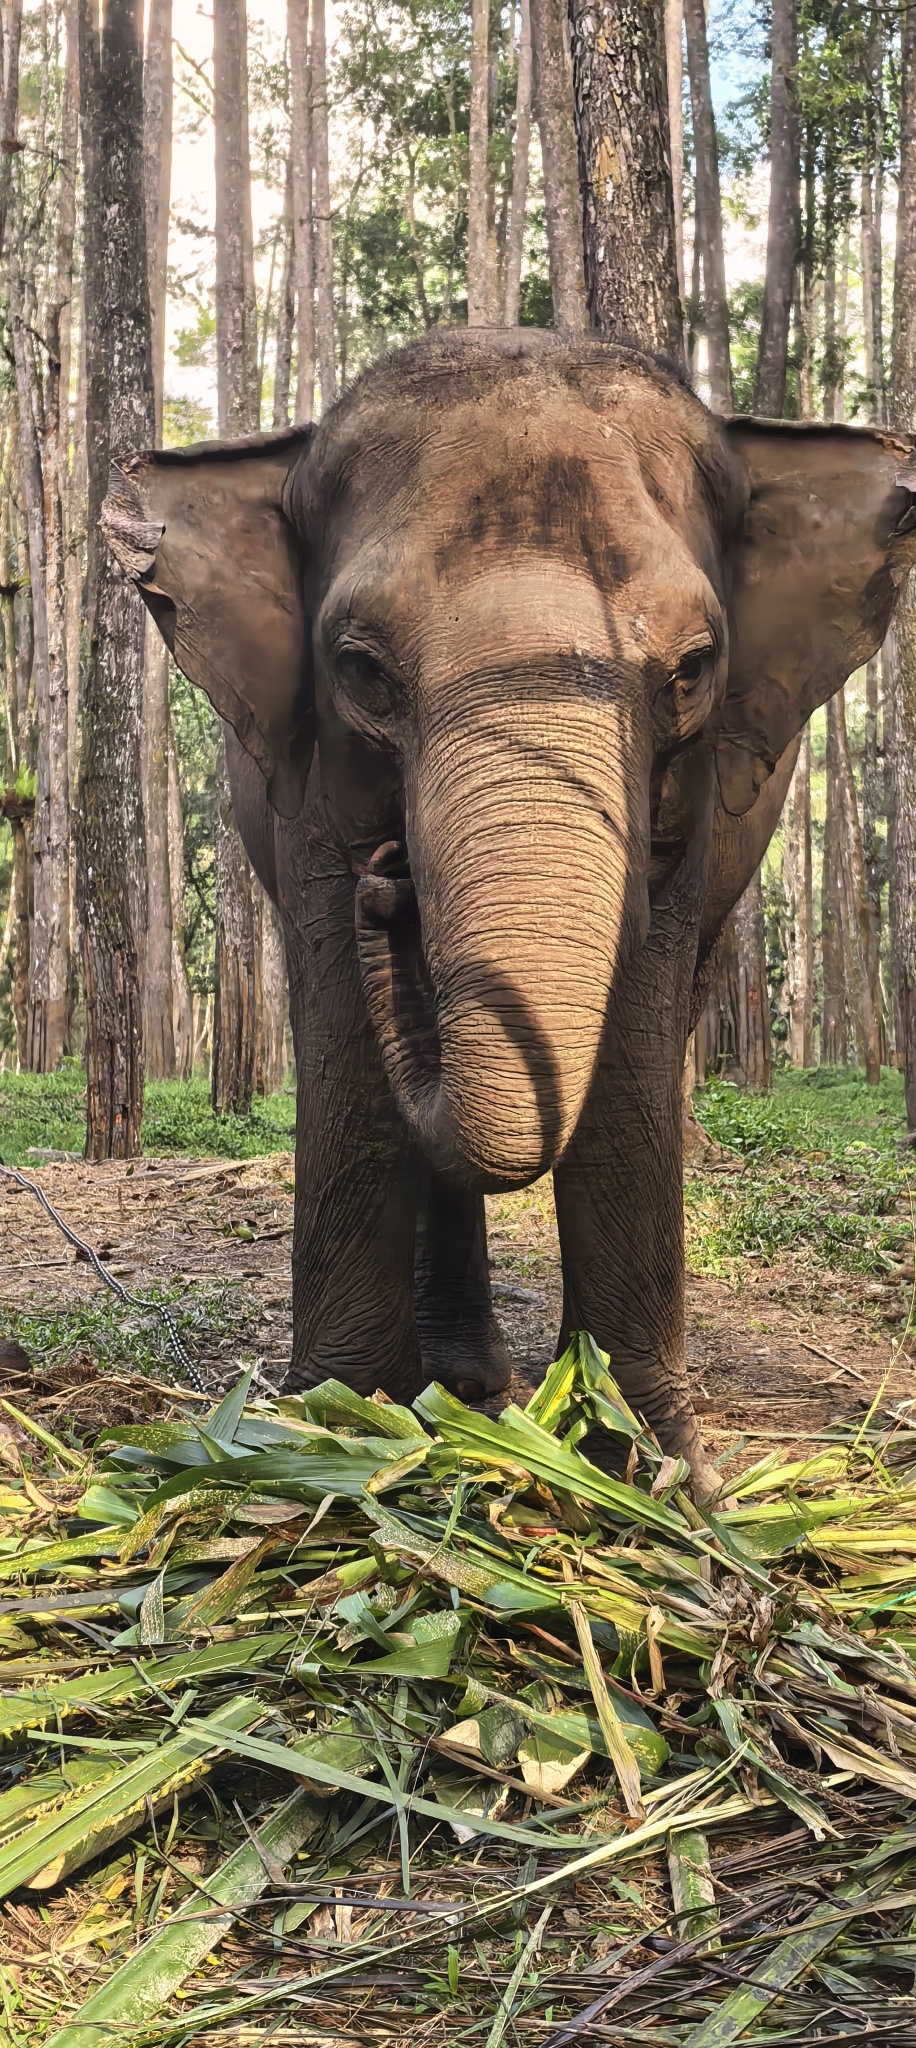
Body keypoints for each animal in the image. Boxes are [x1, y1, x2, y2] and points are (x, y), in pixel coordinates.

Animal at [103, 328, 916, 1494]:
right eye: (359, 670)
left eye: (692, 670)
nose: (391, 882)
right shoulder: (304, 786)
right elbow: (344, 1037)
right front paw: (323, 1437)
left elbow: (634, 1036)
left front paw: (649, 1470)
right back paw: (455, 1394)